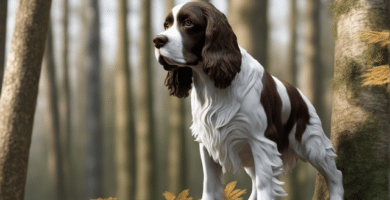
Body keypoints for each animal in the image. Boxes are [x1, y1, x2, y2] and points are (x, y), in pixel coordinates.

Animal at [152, 1, 344, 200]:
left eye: (188, 23)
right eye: (166, 25)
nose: (157, 40)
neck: (213, 85)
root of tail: (299, 94)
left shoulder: (261, 142)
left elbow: (265, 187)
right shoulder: (208, 144)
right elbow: (210, 186)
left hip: (312, 144)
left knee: (335, 174)